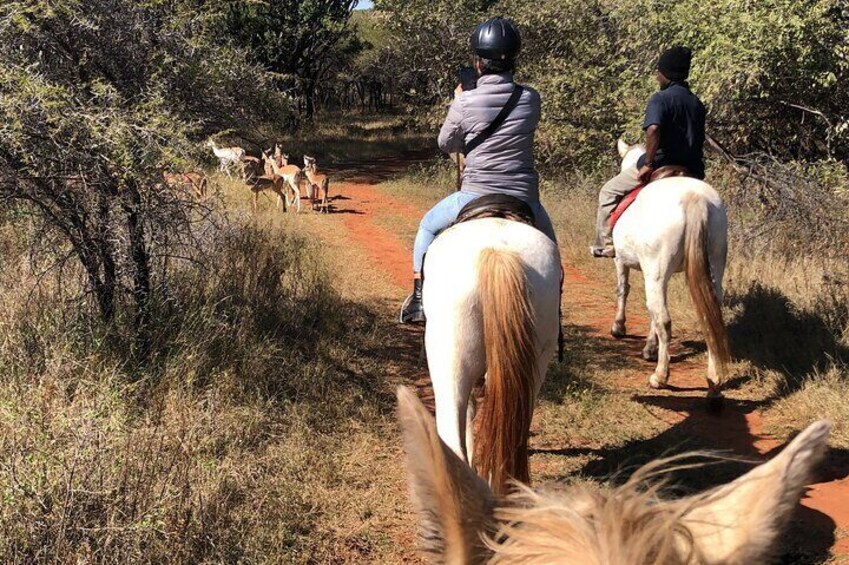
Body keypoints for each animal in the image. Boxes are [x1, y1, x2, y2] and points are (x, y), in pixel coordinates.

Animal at [608, 138, 728, 398]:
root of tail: (695, 198)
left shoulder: (622, 261)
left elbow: (624, 290)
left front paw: (619, 327)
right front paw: (649, 347)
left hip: (655, 272)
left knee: (663, 318)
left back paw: (660, 377)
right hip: (714, 264)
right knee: (710, 315)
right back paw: (714, 381)